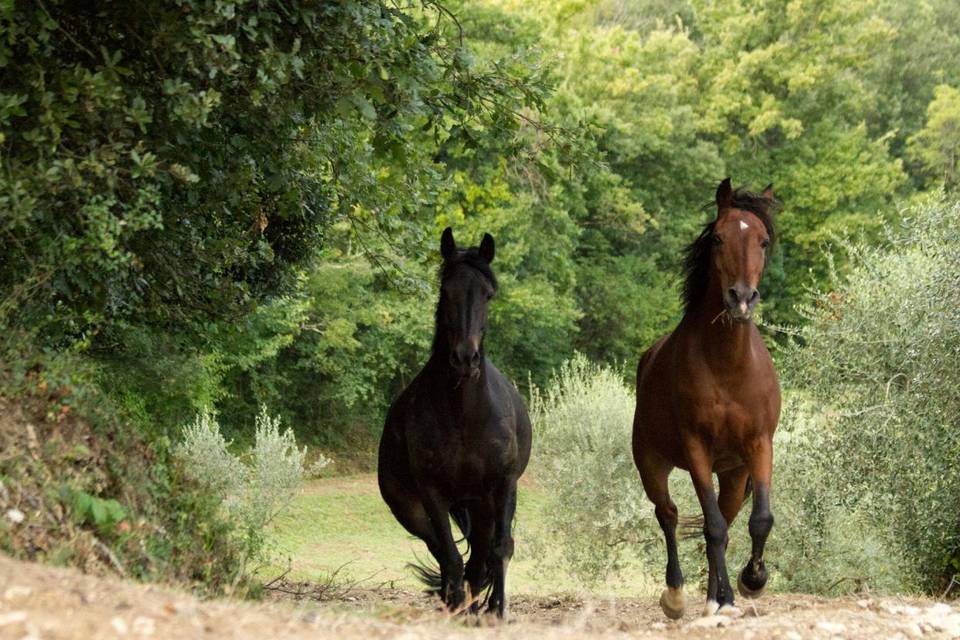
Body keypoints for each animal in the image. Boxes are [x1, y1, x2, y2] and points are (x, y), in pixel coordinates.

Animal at [376, 228, 532, 616]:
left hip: (481, 505)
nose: (465, 358)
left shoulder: (502, 486)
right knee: (446, 555)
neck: (465, 415)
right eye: (446, 291)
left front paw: (496, 610)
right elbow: (450, 557)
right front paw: (461, 606)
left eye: (488, 294)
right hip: (413, 510)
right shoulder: (432, 495)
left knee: (481, 557)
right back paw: (457, 603)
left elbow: (499, 549)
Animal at [632, 178, 784, 616]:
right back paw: (677, 596)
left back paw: (716, 595)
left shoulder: (759, 446)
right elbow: (712, 526)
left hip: (731, 473)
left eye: (763, 240)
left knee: (724, 520)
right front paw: (728, 597)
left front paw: (751, 582)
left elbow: (758, 520)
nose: (742, 298)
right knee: (668, 514)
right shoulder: (696, 446)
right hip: (651, 463)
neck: (728, 365)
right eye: (718, 238)